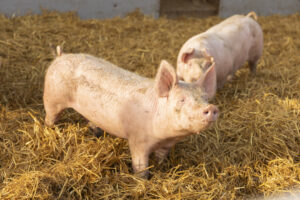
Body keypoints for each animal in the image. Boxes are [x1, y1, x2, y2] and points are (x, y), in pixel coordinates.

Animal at [43, 46, 218, 178]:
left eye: (205, 98)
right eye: (181, 99)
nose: (211, 108)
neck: (166, 135)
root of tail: (61, 55)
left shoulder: (167, 145)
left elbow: (161, 158)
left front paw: (161, 167)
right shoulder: (137, 140)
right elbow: (140, 165)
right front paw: (143, 179)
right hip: (52, 97)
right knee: (50, 116)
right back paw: (51, 129)